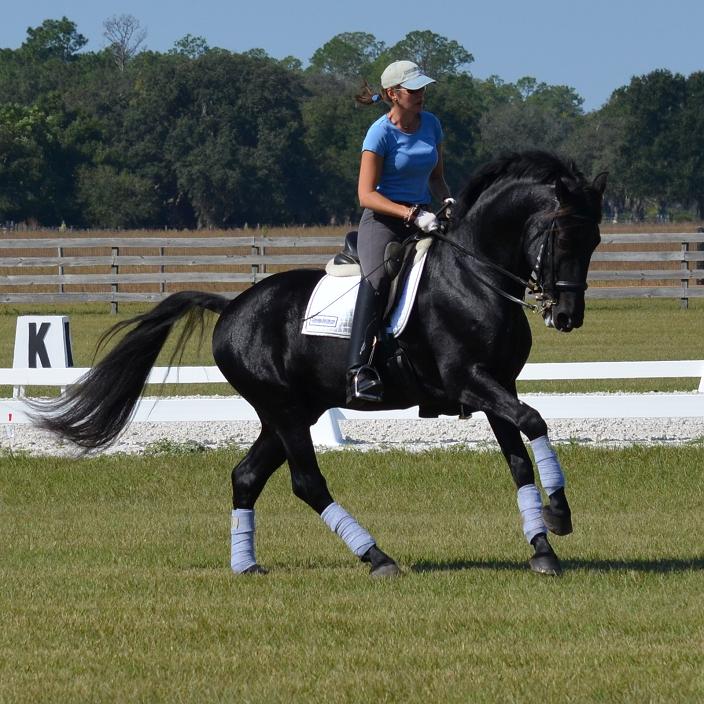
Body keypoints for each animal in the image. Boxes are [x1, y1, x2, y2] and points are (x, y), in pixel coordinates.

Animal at [33, 150, 604, 576]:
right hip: (285, 410)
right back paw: (377, 558)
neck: (474, 275)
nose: (568, 316)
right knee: (306, 482)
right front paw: (559, 515)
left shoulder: (496, 384)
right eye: (563, 235)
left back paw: (246, 565)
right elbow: (535, 421)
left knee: (246, 476)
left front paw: (543, 547)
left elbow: (518, 458)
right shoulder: (470, 381)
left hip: (288, 413)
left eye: (596, 239)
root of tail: (232, 306)